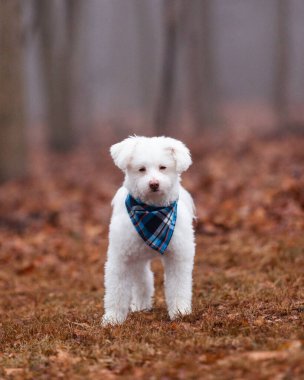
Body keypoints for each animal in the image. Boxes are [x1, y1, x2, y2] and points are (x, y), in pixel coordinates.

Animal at [102, 135, 196, 326]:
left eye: (163, 167)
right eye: (141, 169)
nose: (154, 184)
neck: (151, 212)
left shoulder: (178, 257)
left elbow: (179, 286)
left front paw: (180, 312)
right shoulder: (121, 258)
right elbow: (116, 291)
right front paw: (113, 319)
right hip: (136, 258)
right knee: (144, 280)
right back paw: (140, 305)